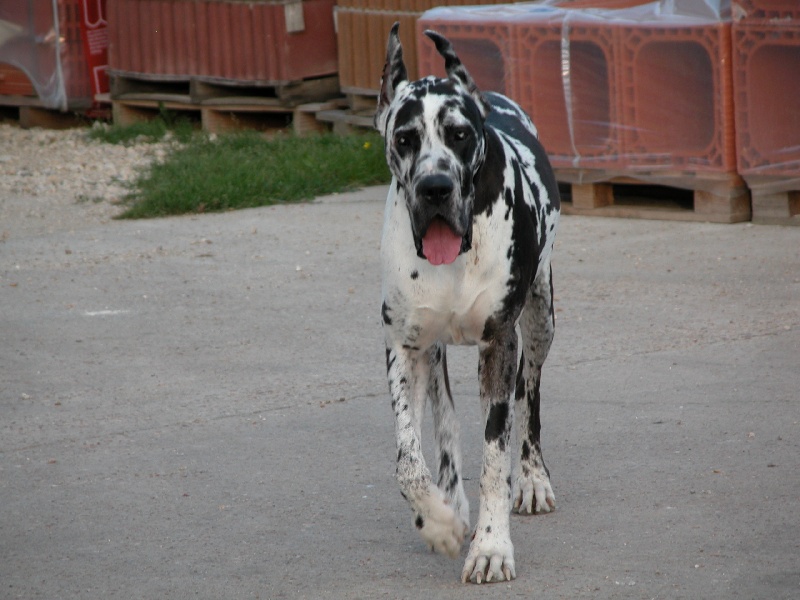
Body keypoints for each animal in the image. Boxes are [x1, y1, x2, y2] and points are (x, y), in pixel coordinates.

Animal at [376, 24, 560, 584]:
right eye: (405, 138)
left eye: (459, 134)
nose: (435, 187)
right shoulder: (404, 347)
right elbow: (409, 459)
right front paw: (438, 519)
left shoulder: (500, 344)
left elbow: (495, 456)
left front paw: (492, 546)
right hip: (434, 350)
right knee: (445, 424)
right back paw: (451, 502)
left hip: (540, 323)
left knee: (530, 400)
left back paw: (533, 478)